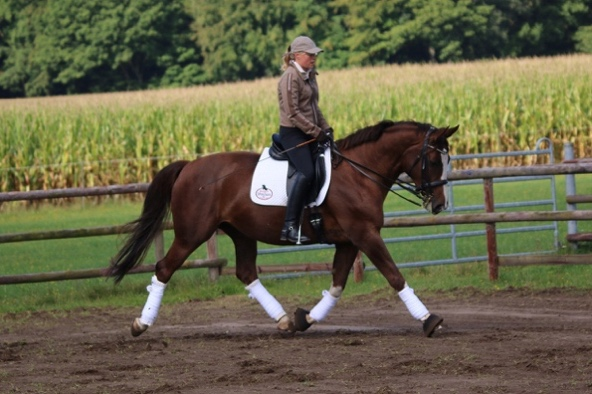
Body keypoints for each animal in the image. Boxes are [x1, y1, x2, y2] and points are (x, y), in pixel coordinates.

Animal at [108, 121, 458, 338]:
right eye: (433, 160)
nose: (440, 204)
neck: (359, 174)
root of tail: (189, 166)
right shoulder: (365, 235)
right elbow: (394, 275)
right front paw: (429, 320)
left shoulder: (349, 241)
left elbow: (337, 285)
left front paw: (305, 319)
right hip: (192, 233)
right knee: (164, 268)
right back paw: (141, 323)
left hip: (241, 232)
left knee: (247, 272)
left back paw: (284, 320)